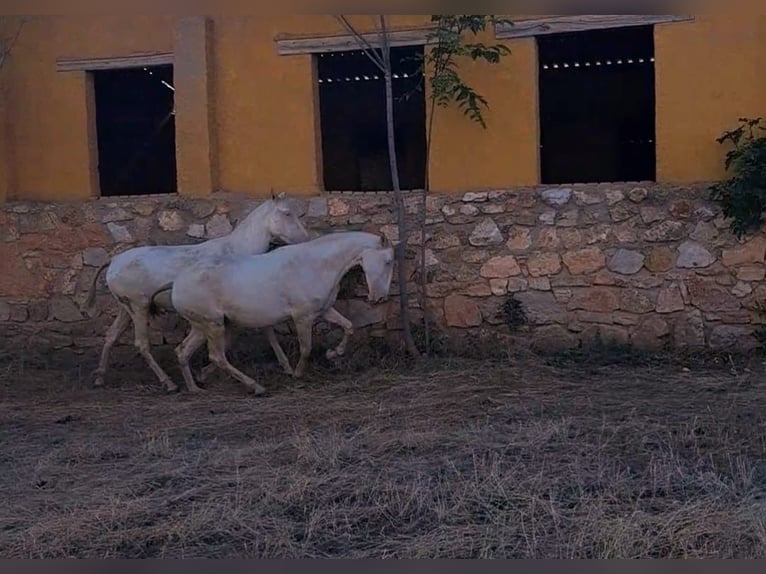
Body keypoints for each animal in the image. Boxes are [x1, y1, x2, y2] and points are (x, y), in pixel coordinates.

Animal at [81, 192, 312, 392]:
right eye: (287, 213)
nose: (305, 239)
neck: (236, 251)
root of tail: (113, 261)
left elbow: (267, 331)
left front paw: (287, 368)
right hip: (139, 307)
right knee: (142, 344)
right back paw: (169, 384)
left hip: (125, 309)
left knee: (111, 336)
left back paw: (100, 377)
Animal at [149, 231, 392, 396]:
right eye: (389, 261)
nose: (379, 298)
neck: (315, 265)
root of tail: (177, 282)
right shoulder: (302, 317)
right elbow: (306, 348)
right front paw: (297, 373)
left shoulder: (324, 311)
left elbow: (349, 326)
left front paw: (333, 354)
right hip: (213, 324)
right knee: (216, 356)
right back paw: (256, 387)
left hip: (203, 326)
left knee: (183, 351)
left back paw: (195, 388)